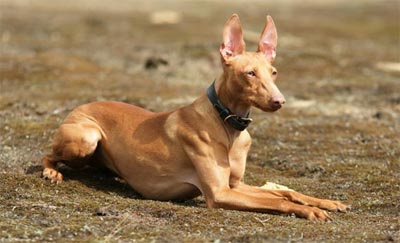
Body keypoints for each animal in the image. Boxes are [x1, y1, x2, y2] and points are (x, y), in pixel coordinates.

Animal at [41, 14, 346, 220]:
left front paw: (325, 202)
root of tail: (79, 106)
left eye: (273, 73)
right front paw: (308, 211)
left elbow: (285, 192)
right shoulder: (220, 193)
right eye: (250, 73)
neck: (227, 124)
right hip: (86, 137)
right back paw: (51, 171)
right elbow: (279, 201)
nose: (279, 101)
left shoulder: (235, 185)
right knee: (48, 154)